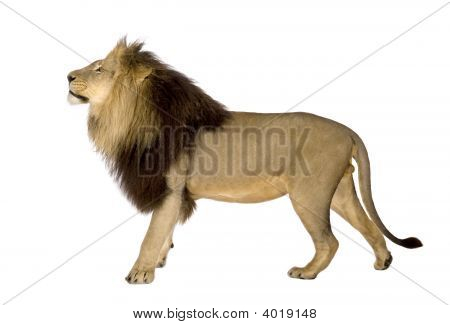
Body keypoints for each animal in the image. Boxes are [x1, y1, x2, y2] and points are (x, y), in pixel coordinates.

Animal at [67, 38, 422, 282]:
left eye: (99, 68)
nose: (68, 76)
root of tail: (348, 131)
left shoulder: (170, 187)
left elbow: (151, 234)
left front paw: (140, 274)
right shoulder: (177, 194)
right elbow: (165, 231)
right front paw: (159, 262)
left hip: (309, 195)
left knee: (329, 241)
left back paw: (307, 272)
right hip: (339, 191)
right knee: (368, 226)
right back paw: (383, 262)